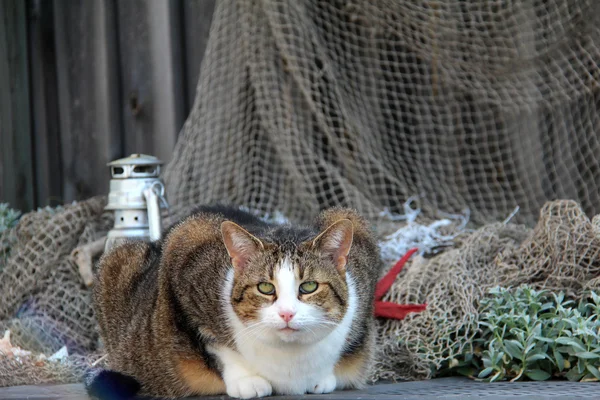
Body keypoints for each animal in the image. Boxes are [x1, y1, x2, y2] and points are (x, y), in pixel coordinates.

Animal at [86, 205, 382, 398]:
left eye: (308, 286)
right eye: (265, 287)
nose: (287, 314)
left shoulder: (361, 241)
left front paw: (324, 376)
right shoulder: (184, 250)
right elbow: (214, 342)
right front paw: (247, 380)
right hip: (119, 259)